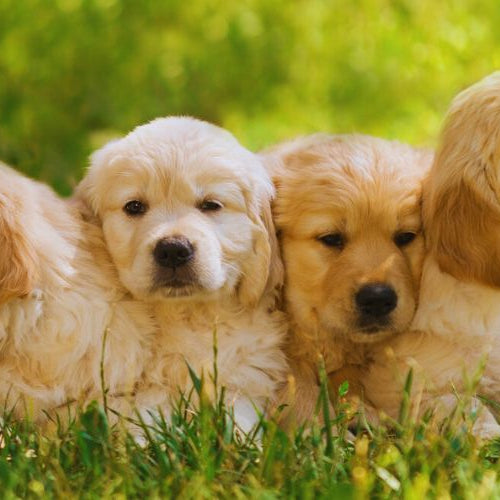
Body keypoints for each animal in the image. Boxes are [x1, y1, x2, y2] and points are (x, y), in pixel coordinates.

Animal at [73, 116, 286, 430]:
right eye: (134, 206)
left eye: (211, 205)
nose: (173, 250)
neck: (183, 314)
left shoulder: (243, 371)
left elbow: (238, 414)